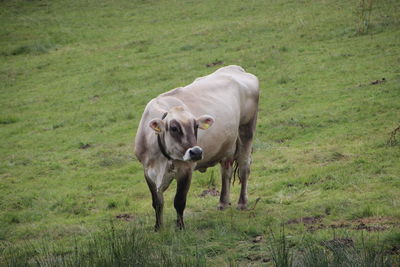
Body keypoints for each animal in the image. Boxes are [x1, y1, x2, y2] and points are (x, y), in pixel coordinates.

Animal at [134, 66, 260, 231]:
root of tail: (235, 68)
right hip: (227, 144)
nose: (197, 152)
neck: (161, 159)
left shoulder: (186, 170)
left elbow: (179, 201)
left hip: (246, 129)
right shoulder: (147, 172)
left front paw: (180, 227)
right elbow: (157, 203)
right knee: (226, 170)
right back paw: (223, 202)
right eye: (174, 128)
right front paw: (158, 228)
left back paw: (242, 203)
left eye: (196, 126)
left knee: (244, 167)